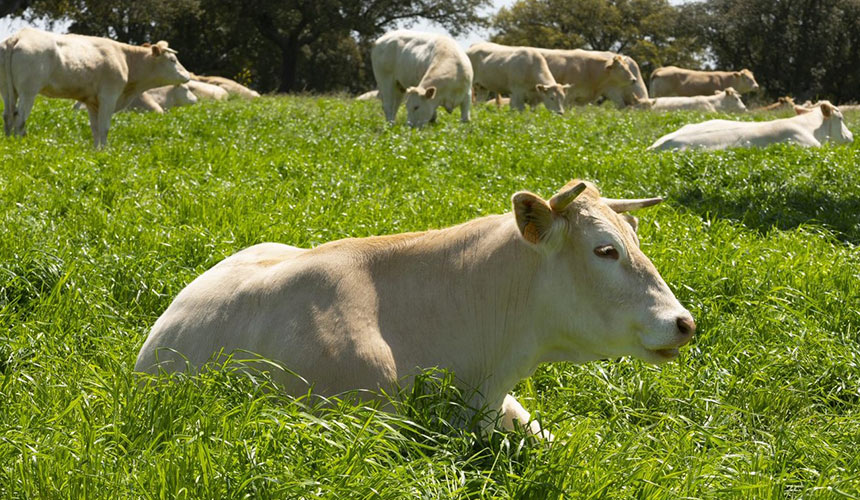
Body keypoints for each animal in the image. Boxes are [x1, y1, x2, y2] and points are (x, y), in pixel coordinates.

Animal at [0, 27, 188, 146]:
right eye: (173, 60)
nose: (187, 76)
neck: (126, 59)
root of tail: (18, 36)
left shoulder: (92, 102)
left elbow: (95, 129)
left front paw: (96, 151)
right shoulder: (109, 97)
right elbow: (104, 128)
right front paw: (104, 152)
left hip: (8, 91)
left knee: (8, 116)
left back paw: (9, 144)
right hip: (28, 92)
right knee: (20, 119)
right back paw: (20, 146)